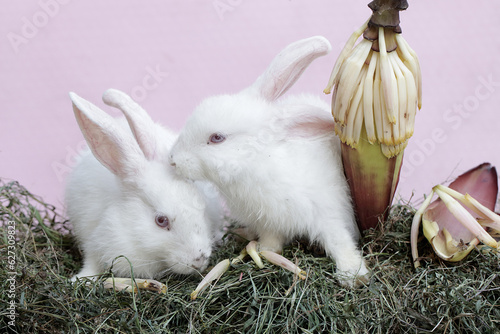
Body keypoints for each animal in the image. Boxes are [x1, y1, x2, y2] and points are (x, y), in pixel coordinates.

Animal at [66, 88, 223, 284]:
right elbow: (91, 263)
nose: (199, 259)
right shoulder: (93, 239)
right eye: (161, 221)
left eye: (202, 207)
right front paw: (81, 279)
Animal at [170, 36, 370, 288]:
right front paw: (266, 249)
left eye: (217, 138)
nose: (172, 160)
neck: (258, 162)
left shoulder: (327, 211)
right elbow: (272, 237)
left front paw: (353, 274)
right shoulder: (270, 220)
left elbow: (339, 240)